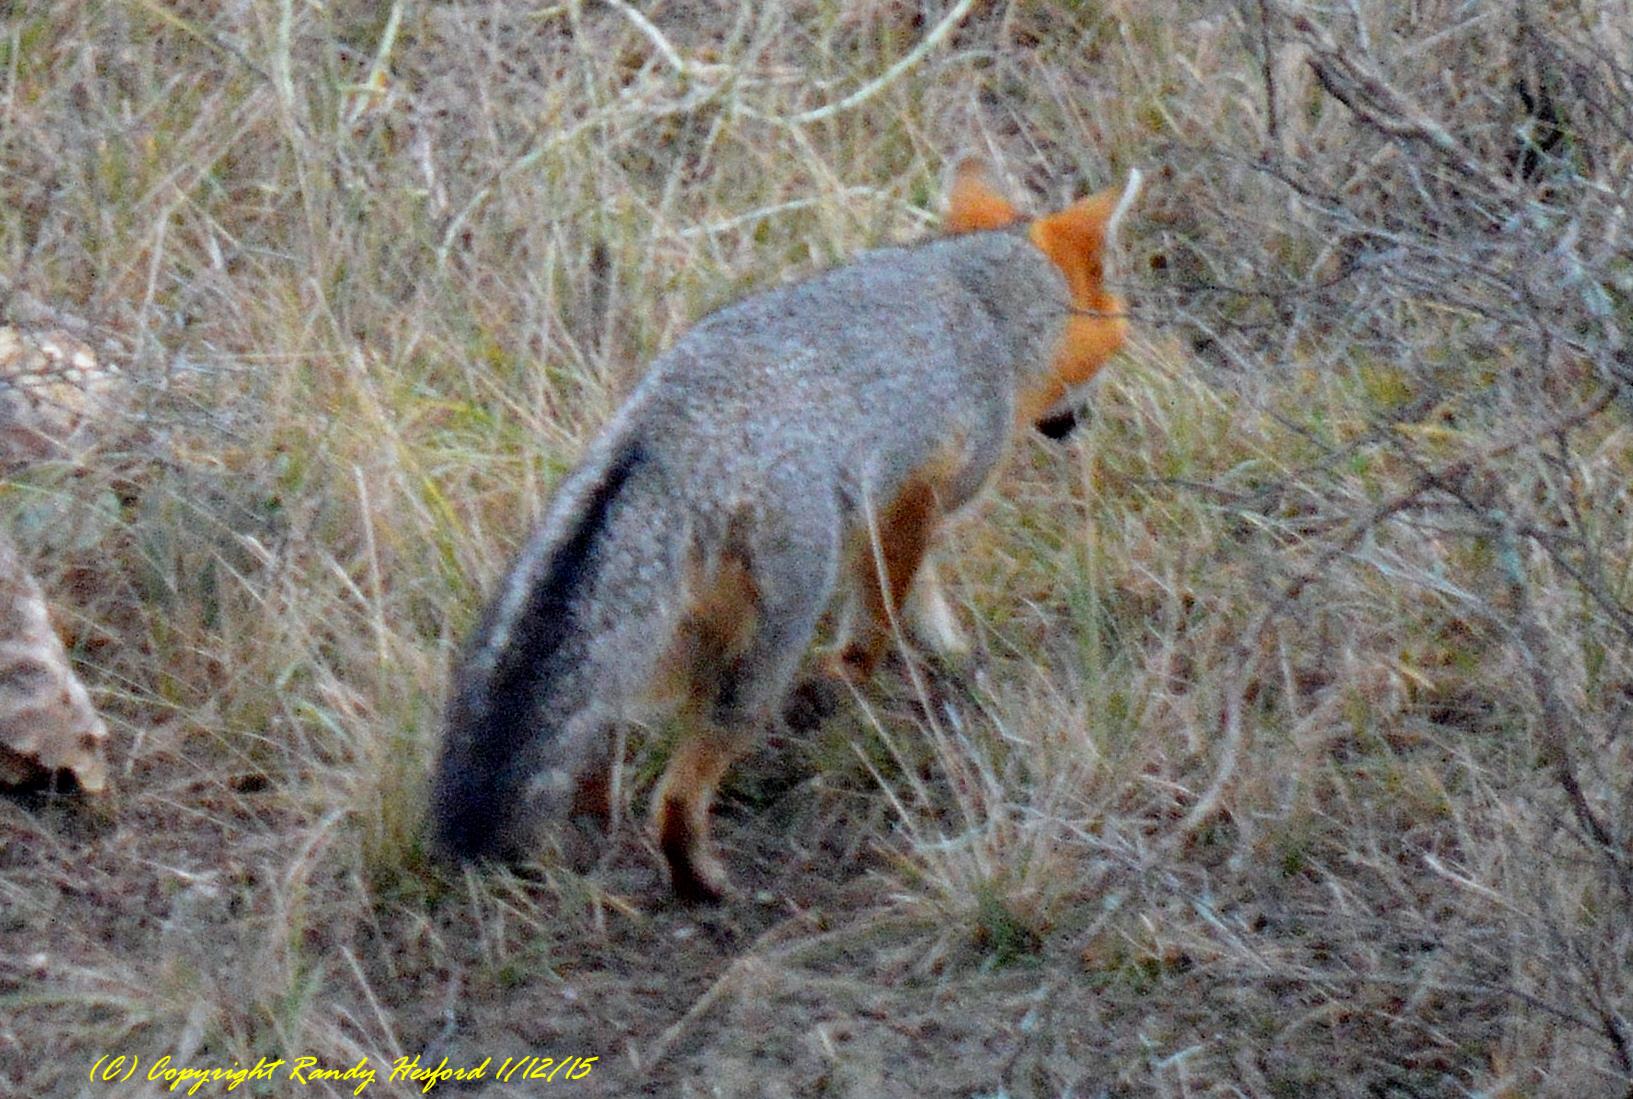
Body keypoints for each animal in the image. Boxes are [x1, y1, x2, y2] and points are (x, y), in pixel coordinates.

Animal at [430, 158, 1140, 901]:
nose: (1078, 424)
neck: (984, 298)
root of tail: (663, 432)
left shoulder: (888, 506)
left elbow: (919, 593)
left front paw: (950, 650)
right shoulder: (913, 497)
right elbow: (881, 613)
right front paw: (866, 671)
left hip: (655, 635)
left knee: (601, 734)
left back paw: (599, 818)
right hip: (768, 647)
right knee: (678, 791)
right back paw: (699, 880)